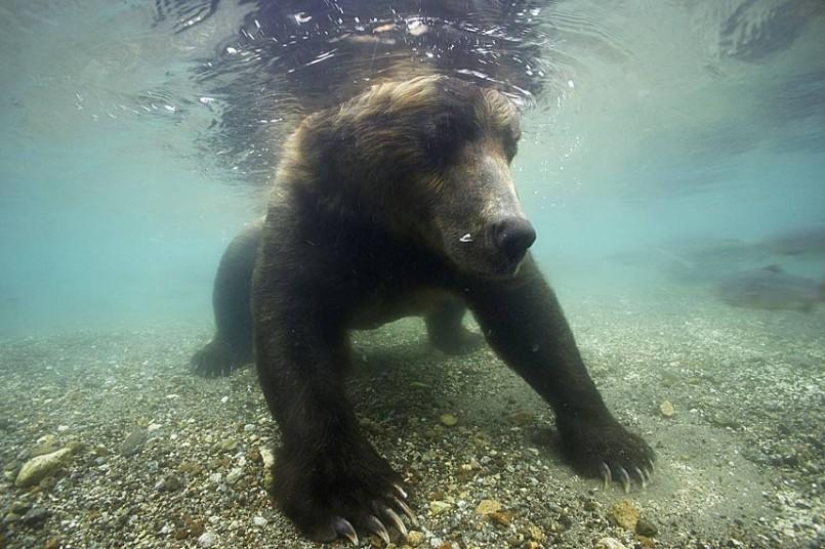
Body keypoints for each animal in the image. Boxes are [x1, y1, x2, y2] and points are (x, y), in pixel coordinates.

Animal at [192, 75, 655, 543]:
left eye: (511, 144)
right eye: (440, 132)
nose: (513, 233)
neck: (391, 231)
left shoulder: (447, 254)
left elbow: (533, 323)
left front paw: (619, 451)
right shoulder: (311, 228)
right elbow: (292, 338)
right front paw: (360, 498)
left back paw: (458, 339)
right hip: (253, 243)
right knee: (231, 272)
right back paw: (216, 356)